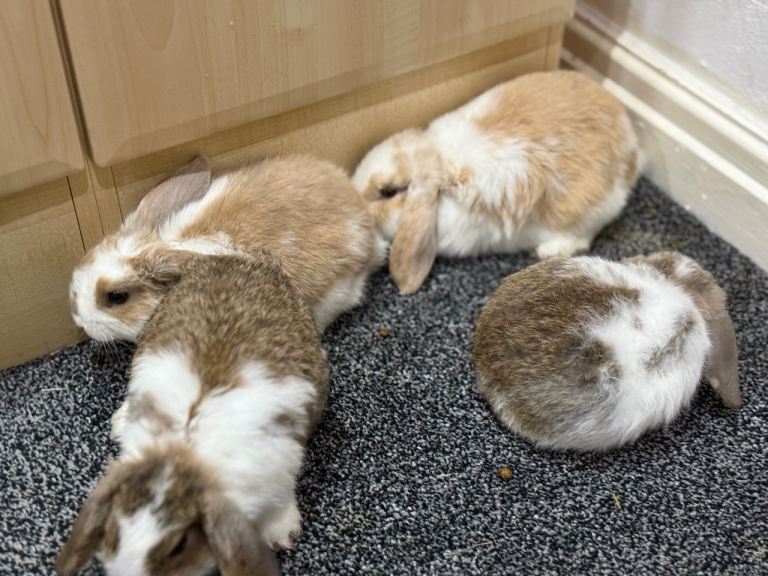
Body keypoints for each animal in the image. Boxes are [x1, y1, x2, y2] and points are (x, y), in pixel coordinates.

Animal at [56, 252, 329, 576]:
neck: (182, 455)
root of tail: (236, 259)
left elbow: (278, 503)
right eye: (113, 530)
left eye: (179, 546)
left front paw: (282, 534)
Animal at [352, 70, 639, 294]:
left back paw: (551, 250)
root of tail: (630, 141)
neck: (441, 163)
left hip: (593, 208)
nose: (352, 196)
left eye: (389, 191)